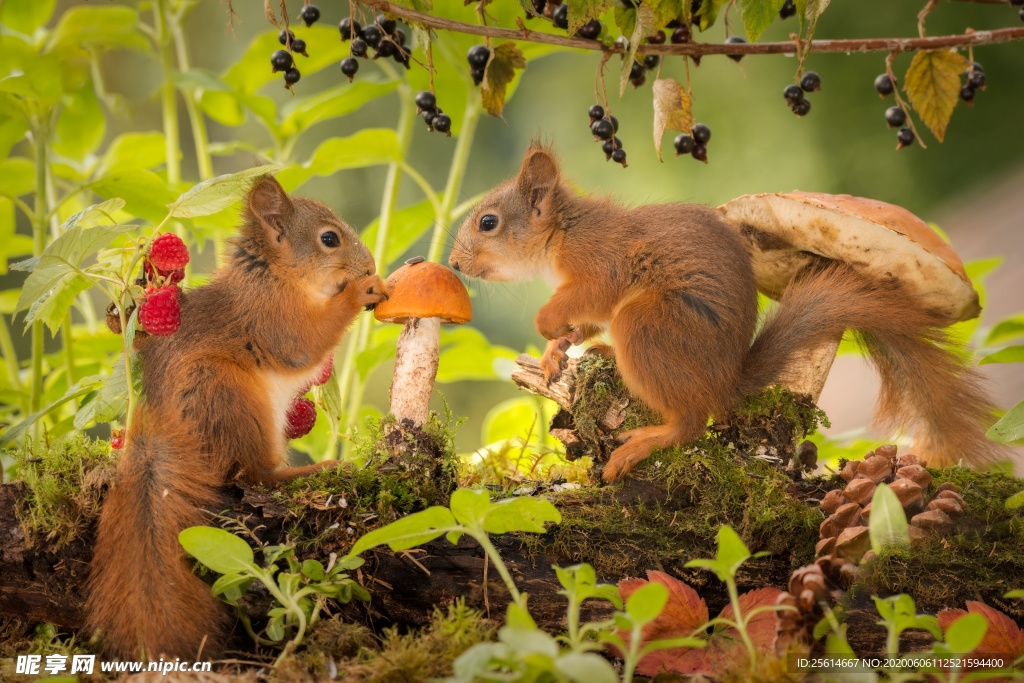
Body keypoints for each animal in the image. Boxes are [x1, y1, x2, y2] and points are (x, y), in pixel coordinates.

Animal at [87, 178, 385, 663]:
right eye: (329, 239)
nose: (370, 265)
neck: (275, 276)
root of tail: (164, 430)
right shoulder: (272, 317)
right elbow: (307, 341)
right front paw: (362, 291)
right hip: (226, 396)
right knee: (255, 474)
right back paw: (318, 469)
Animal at [450, 147, 1007, 483]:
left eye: (488, 223)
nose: (454, 264)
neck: (561, 233)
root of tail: (727, 380)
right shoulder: (591, 292)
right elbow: (583, 321)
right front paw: (554, 352)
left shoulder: (601, 264)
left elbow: (583, 300)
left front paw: (547, 326)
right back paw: (603, 352)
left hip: (648, 326)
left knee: (692, 421)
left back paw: (643, 442)